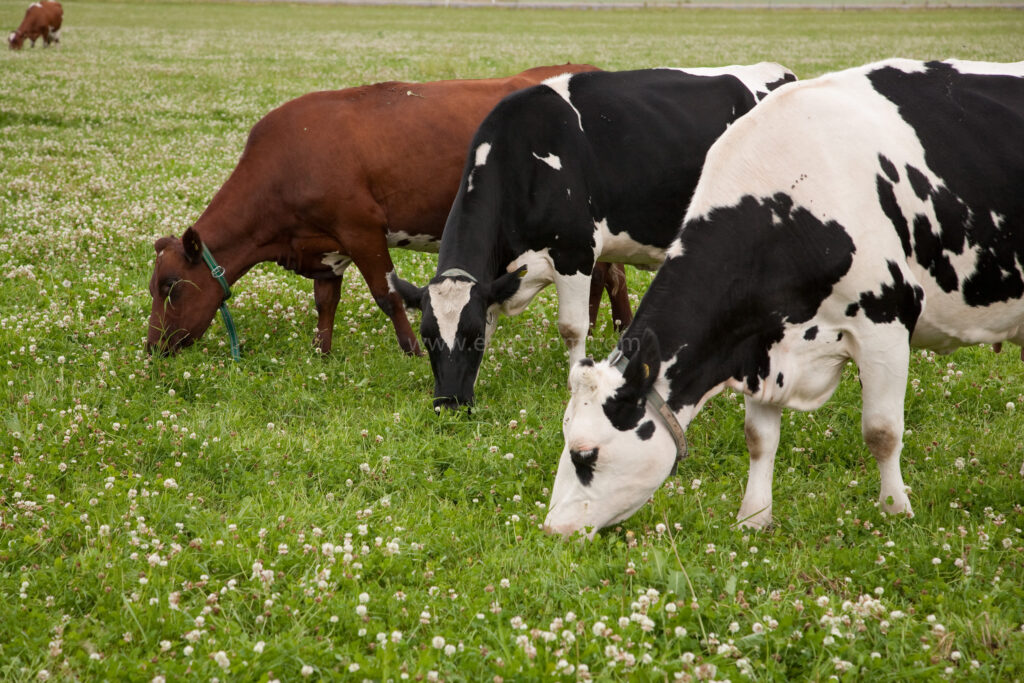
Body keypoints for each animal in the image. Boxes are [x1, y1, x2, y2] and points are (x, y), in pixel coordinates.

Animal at [143, 65, 630, 358]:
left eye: (171, 287)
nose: (152, 347)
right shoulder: (327, 246)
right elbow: (325, 300)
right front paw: (321, 353)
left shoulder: (363, 230)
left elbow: (387, 295)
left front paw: (412, 350)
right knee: (607, 274)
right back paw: (607, 329)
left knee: (609, 276)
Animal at [391, 63, 798, 409]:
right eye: (427, 335)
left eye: (469, 334)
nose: (449, 404)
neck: (525, 159)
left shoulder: (574, 253)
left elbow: (572, 327)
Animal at [544, 58, 1024, 540]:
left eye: (585, 454)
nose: (551, 529)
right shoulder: (761, 338)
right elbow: (759, 439)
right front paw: (754, 517)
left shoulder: (884, 326)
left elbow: (882, 432)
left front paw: (895, 511)